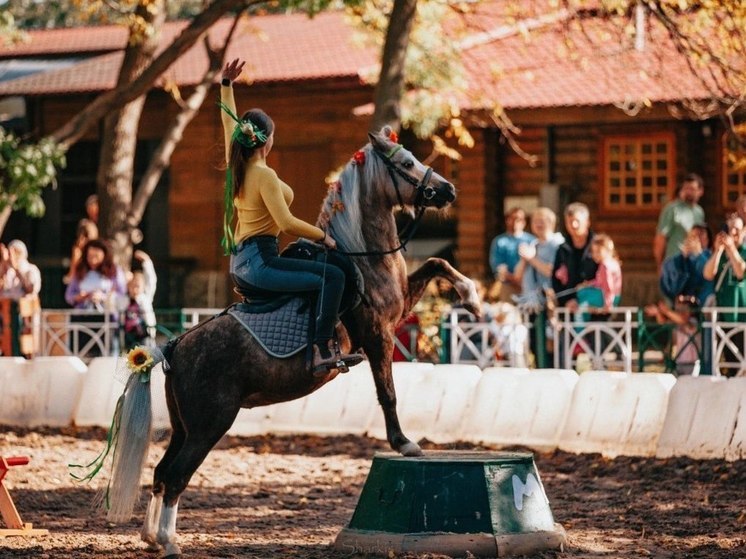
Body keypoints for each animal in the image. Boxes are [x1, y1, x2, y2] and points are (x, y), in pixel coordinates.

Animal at [106, 124, 476, 556]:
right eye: (405, 163)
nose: (448, 190)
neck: (362, 256)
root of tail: (174, 348)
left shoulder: (401, 309)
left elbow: (436, 263)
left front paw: (471, 296)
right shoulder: (380, 334)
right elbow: (388, 393)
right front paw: (404, 443)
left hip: (185, 426)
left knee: (163, 473)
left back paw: (152, 537)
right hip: (209, 424)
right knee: (178, 474)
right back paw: (168, 540)